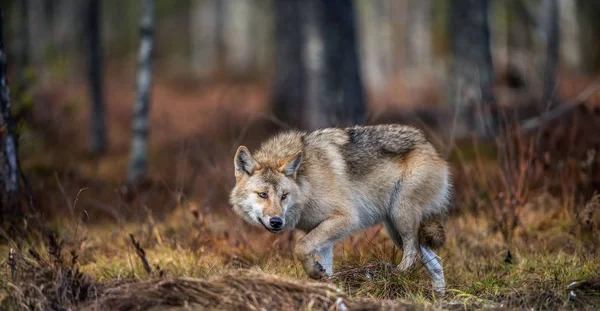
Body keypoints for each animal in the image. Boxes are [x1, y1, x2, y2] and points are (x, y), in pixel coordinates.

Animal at [230, 125, 450, 298]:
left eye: (284, 195)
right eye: (263, 194)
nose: (277, 221)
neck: (306, 181)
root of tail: (429, 145)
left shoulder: (346, 218)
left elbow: (300, 247)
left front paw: (316, 273)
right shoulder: (322, 233)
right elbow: (323, 264)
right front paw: (325, 283)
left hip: (400, 216)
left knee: (413, 254)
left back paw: (389, 275)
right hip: (394, 228)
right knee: (435, 261)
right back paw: (439, 299)